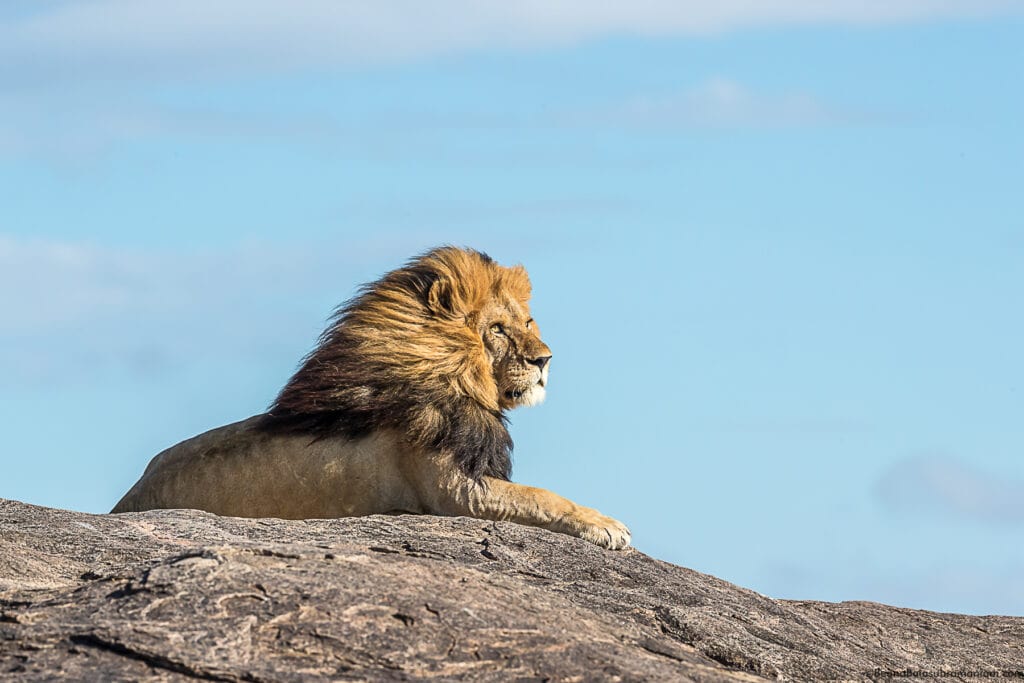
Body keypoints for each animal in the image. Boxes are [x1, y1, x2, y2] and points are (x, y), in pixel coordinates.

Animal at [116, 245, 634, 548]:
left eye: (526, 322)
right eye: (498, 330)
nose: (544, 360)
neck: (450, 370)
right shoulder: (456, 491)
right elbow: (542, 496)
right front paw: (606, 524)